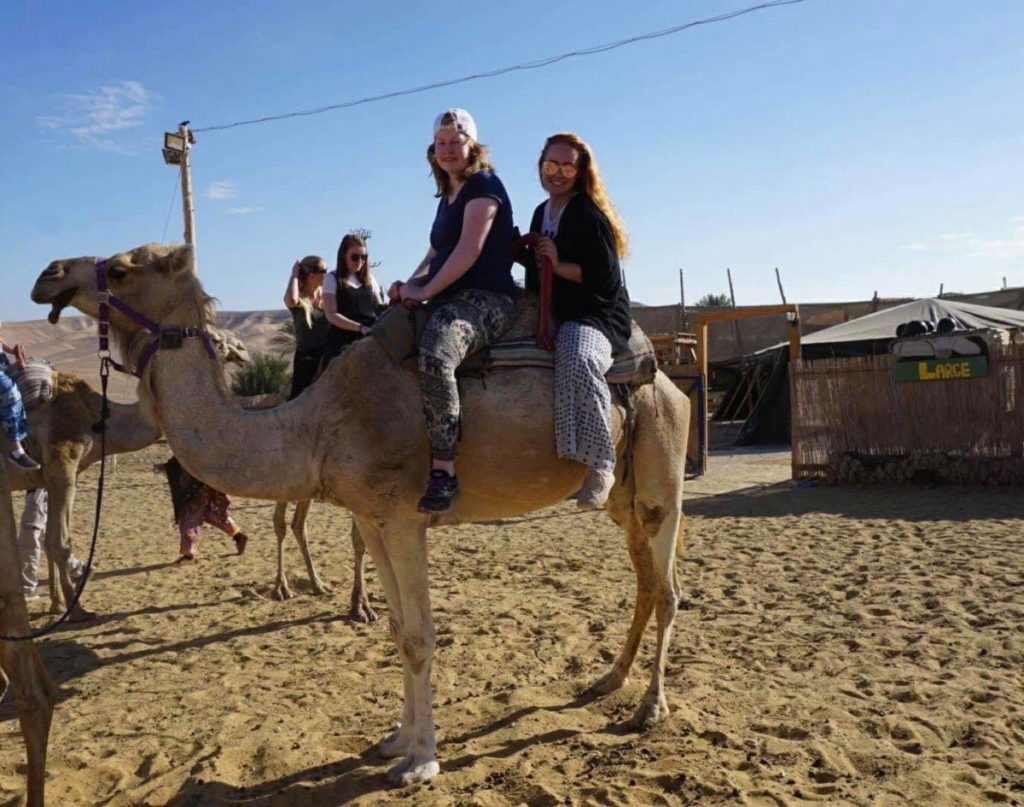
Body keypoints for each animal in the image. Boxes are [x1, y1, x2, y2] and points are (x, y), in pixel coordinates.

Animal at [32, 242, 692, 786]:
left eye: (122, 268)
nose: (49, 275)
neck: (313, 427)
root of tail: (666, 376)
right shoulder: (372, 519)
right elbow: (398, 631)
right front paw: (395, 740)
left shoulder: (404, 519)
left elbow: (422, 636)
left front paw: (422, 763)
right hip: (619, 494)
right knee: (644, 578)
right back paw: (608, 680)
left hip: (661, 470)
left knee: (667, 589)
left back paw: (648, 707)